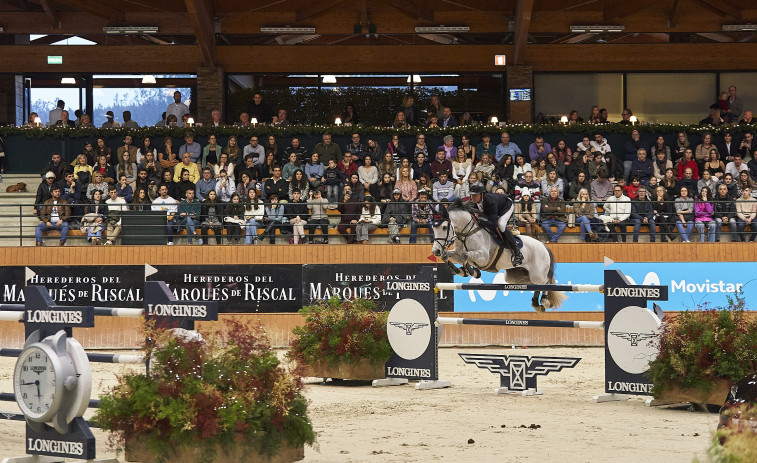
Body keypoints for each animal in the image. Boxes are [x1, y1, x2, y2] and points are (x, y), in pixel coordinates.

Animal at [432, 199, 568, 312]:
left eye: (444, 227)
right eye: (433, 228)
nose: (435, 251)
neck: (467, 233)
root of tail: (544, 246)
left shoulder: (483, 257)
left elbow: (465, 256)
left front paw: (471, 272)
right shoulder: (457, 253)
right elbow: (448, 256)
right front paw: (460, 270)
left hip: (537, 274)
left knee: (546, 281)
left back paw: (545, 301)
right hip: (516, 278)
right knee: (536, 285)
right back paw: (536, 304)